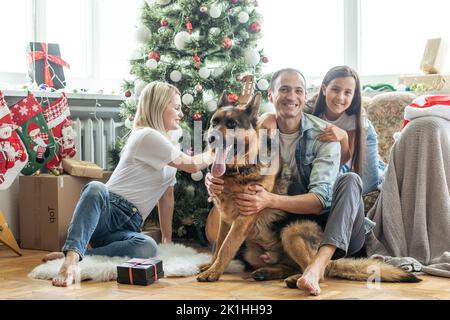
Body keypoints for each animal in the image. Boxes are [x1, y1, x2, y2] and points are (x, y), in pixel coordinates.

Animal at [199, 92, 420, 284]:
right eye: (214, 122)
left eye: (231, 125)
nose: (210, 138)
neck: (240, 169)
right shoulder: (225, 218)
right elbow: (219, 244)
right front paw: (211, 266)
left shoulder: (244, 218)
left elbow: (227, 247)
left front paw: (213, 272)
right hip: (253, 252)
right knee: (291, 266)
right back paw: (269, 272)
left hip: (291, 231)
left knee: (318, 271)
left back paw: (302, 279)